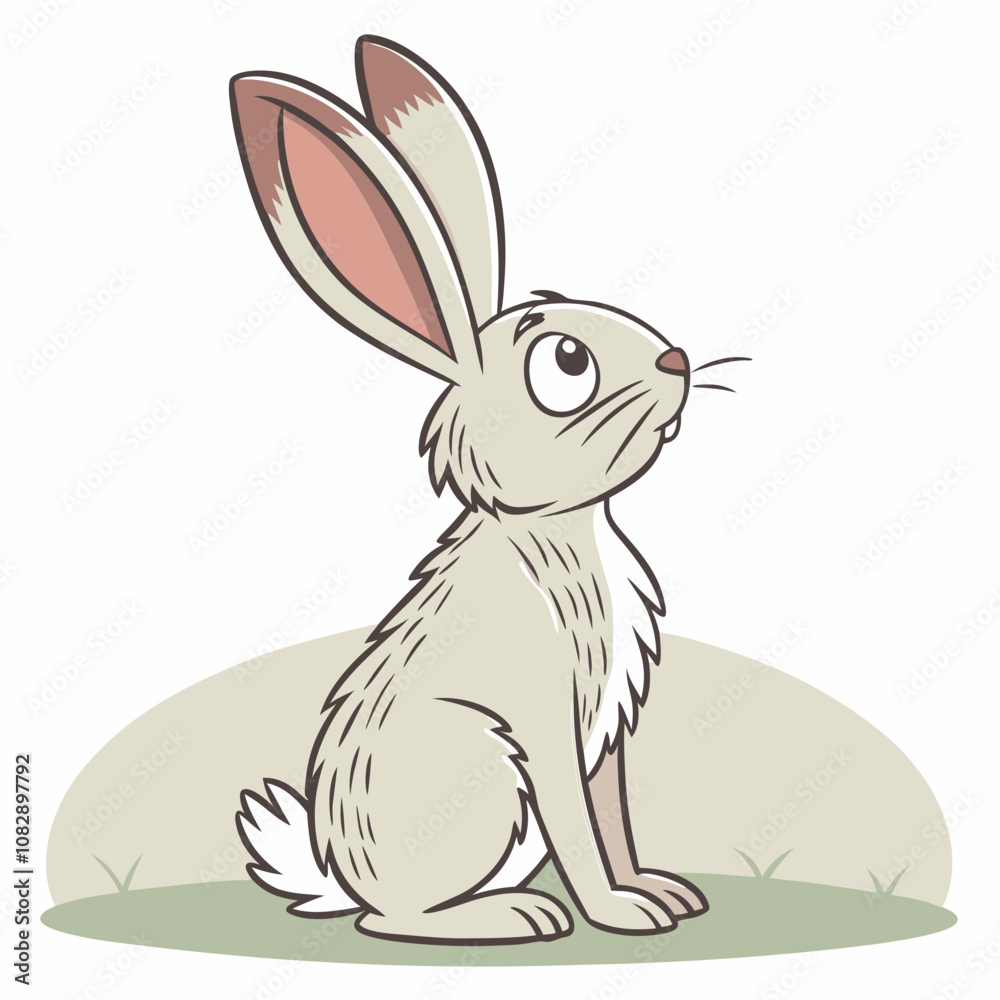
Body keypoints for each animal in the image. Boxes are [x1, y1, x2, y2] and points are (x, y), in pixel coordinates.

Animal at [231, 36, 721, 945]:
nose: (676, 358)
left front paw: (656, 892)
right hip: (482, 763)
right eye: (566, 362)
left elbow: (614, 819)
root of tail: (338, 873)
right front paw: (620, 914)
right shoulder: (546, 725)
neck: (555, 529)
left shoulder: (607, 735)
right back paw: (517, 916)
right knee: (392, 920)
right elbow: (580, 827)